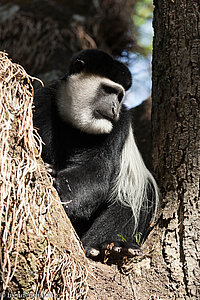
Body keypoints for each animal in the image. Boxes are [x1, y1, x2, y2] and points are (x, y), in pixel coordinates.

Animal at [34, 49, 159, 260]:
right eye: (108, 90)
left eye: (120, 96)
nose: (114, 108)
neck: (76, 126)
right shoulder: (43, 101)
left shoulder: (118, 126)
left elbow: (95, 175)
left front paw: (55, 178)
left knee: (136, 197)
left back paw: (105, 248)